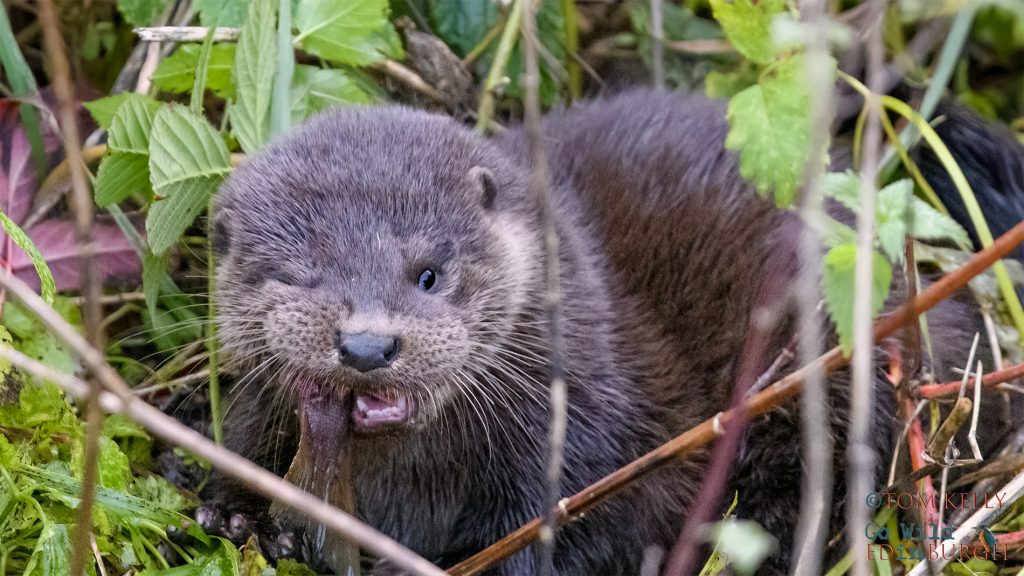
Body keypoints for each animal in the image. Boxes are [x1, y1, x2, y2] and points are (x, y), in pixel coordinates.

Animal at [204, 90, 1018, 574]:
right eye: (300, 275)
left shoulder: (586, 438)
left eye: (429, 273)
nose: (368, 345)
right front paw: (234, 509)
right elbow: (241, 438)